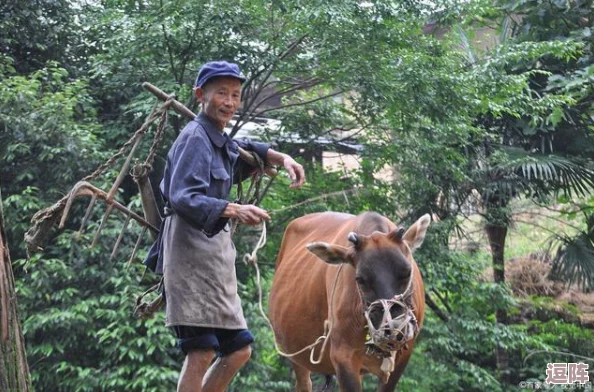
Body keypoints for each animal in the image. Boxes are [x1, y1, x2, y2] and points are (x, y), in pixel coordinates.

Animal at [270, 213, 430, 390]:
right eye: (360, 279)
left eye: (408, 272)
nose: (394, 329)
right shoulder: (343, 357)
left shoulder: (403, 356)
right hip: (296, 355)